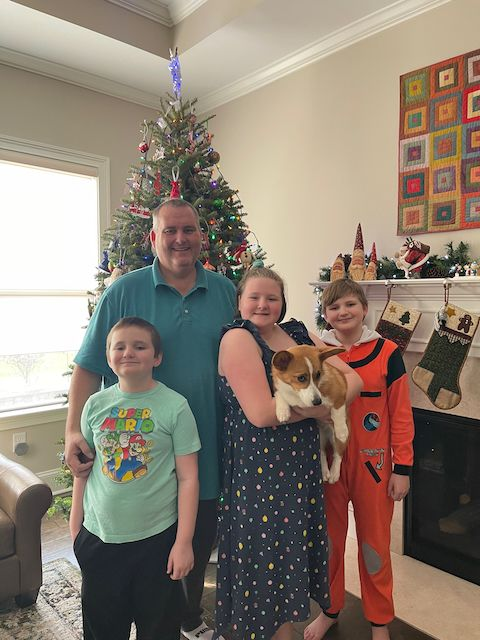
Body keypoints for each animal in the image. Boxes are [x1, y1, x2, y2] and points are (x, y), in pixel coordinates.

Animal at [274, 344, 348, 484]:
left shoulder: (341, 393)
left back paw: (334, 473)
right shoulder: (284, 391)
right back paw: (324, 472)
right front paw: (282, 411)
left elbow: (337, 411)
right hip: (319, 438)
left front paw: (341, 430)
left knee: (338, 453)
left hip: (336, 440)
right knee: (322, 453)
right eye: (301, 378)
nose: (317, 402)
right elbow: (279, 394)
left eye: (318, 374)